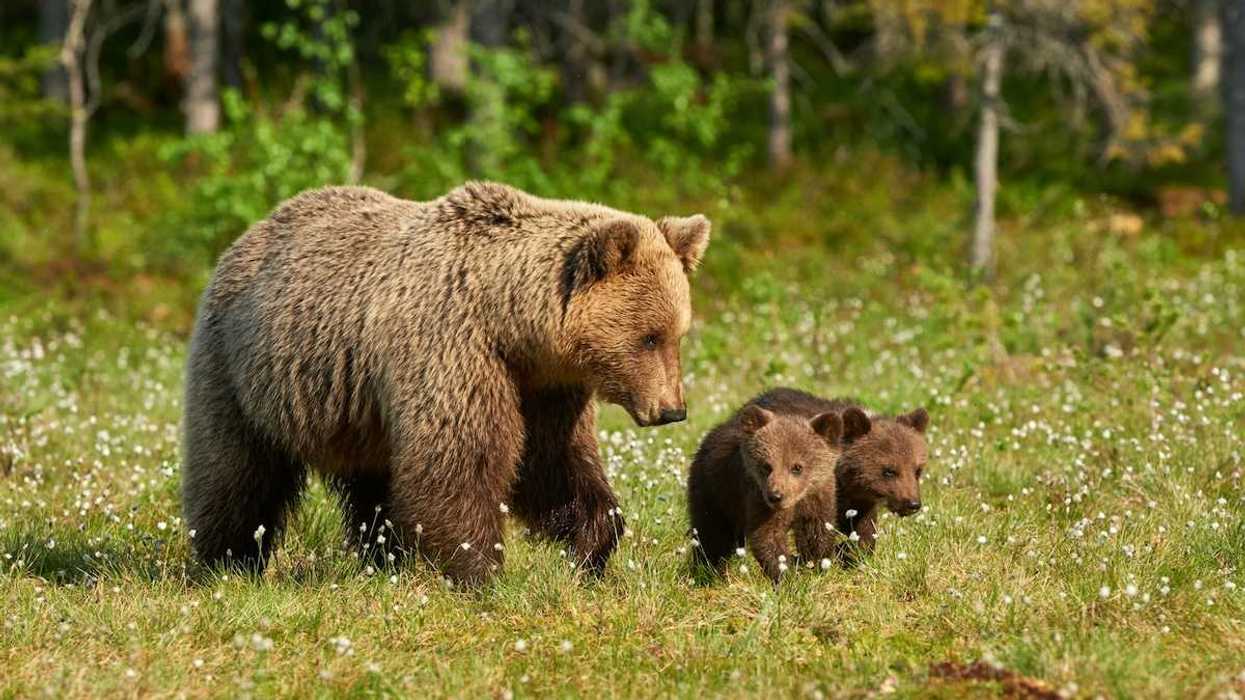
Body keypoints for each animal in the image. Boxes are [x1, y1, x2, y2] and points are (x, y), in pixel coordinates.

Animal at [180, 181, 711, 586]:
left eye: (677, 334)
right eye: (648, 337)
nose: (672, 409)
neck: (510, 322)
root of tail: (250, 233)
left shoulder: (543, 387)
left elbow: (552, 463)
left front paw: (592, 547)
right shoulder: (452, 347)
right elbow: (459, 460)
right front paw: (479, 569)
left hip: (357, 410)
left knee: (373, 485)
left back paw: (382, 559)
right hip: (243, 369)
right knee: (236, 471)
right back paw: (227, 563)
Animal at [687, 397, 842, 583]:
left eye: (797, 467)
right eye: (766, 466)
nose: (776, 495)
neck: (797, 499)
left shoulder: (818, 495)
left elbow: (816, 530)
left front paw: (816, 567)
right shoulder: (756, 496)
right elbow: (768, 536)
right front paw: (785, 575)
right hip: (715, 492)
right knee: (712, 535)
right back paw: (708, 571)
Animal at [744, 389, 929, 565]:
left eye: (917, 470)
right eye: (889, 471)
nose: (912, 504)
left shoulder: (857, 501)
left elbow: (864, 529)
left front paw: (852, 552)